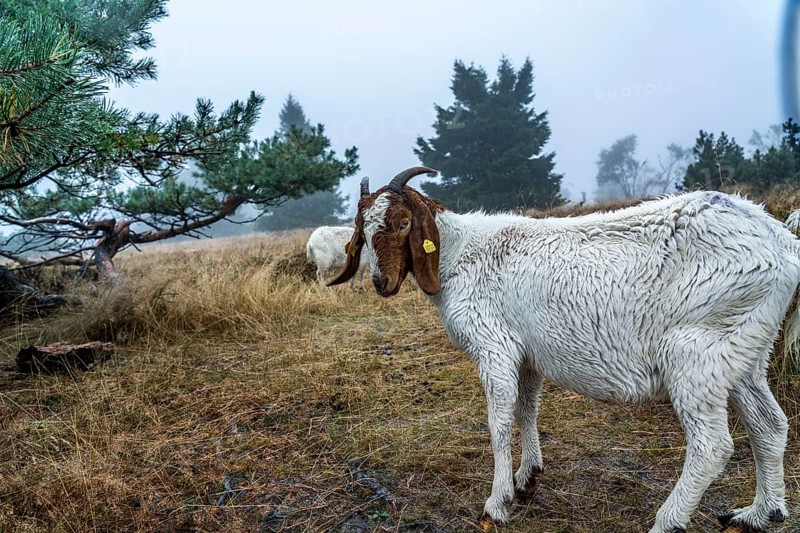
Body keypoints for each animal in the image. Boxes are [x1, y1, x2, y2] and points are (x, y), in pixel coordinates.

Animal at [329, 167, 799, 533]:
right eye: (363, 231)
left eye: (403, 223)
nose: (381, 283)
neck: (460, 254)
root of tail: (781, 240)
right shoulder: (527, 354)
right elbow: (527, 408)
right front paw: (528, 477)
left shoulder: (494, 346)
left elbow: (499, 421)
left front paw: (497, 503)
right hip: (744, 351)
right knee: (769, 425)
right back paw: (759, 514)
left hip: (696, 354)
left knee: (712, 445)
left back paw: (668, 521)